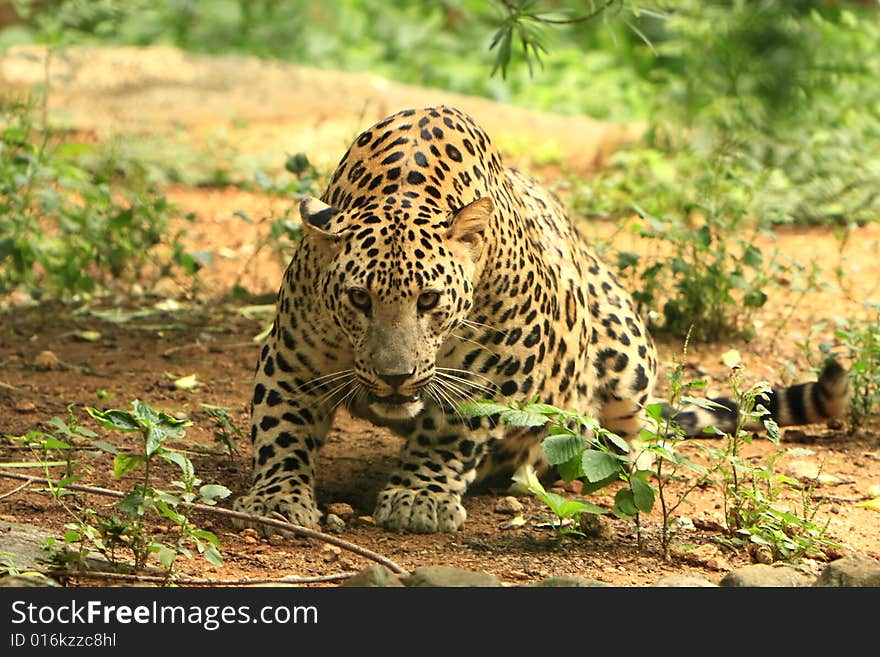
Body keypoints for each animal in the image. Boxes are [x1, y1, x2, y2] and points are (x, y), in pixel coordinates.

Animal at [230, 104, 848, 532]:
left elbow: (451, 432)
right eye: (359, 300)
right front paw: (279, 499)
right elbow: (282, 429)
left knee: (629, 435)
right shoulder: (292, 357)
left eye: (429, 301)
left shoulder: (500, 361)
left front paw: (418, 497)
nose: (394, 376)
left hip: (625, 352)